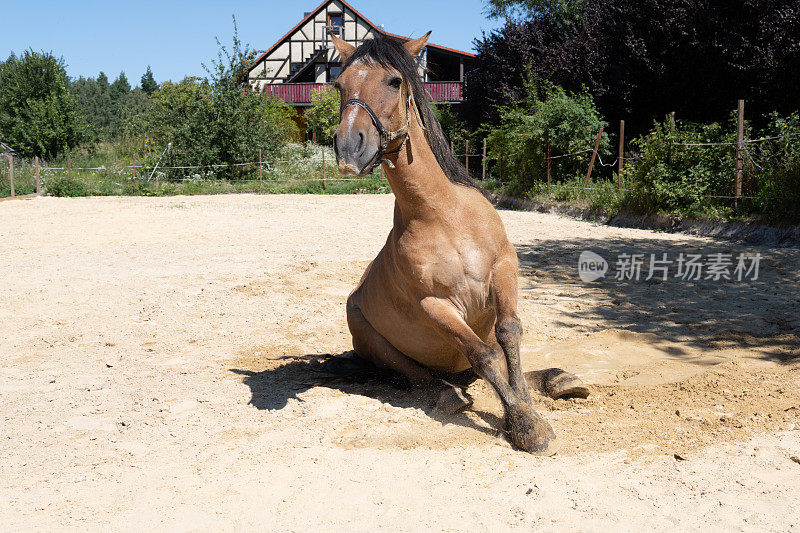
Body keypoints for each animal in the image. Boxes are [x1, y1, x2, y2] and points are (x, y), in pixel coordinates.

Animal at [332, 32, 588, 454]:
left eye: (394, 81)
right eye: (339, 85)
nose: (349, 148)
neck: (444, 215)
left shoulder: (504, 268)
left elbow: (508, 334)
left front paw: (526, 399)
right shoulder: (435, 304)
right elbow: (483, 355)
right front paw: (526, 424)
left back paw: (560, 379)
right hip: (372, 338)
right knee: (425, 376)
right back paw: (449, 395)